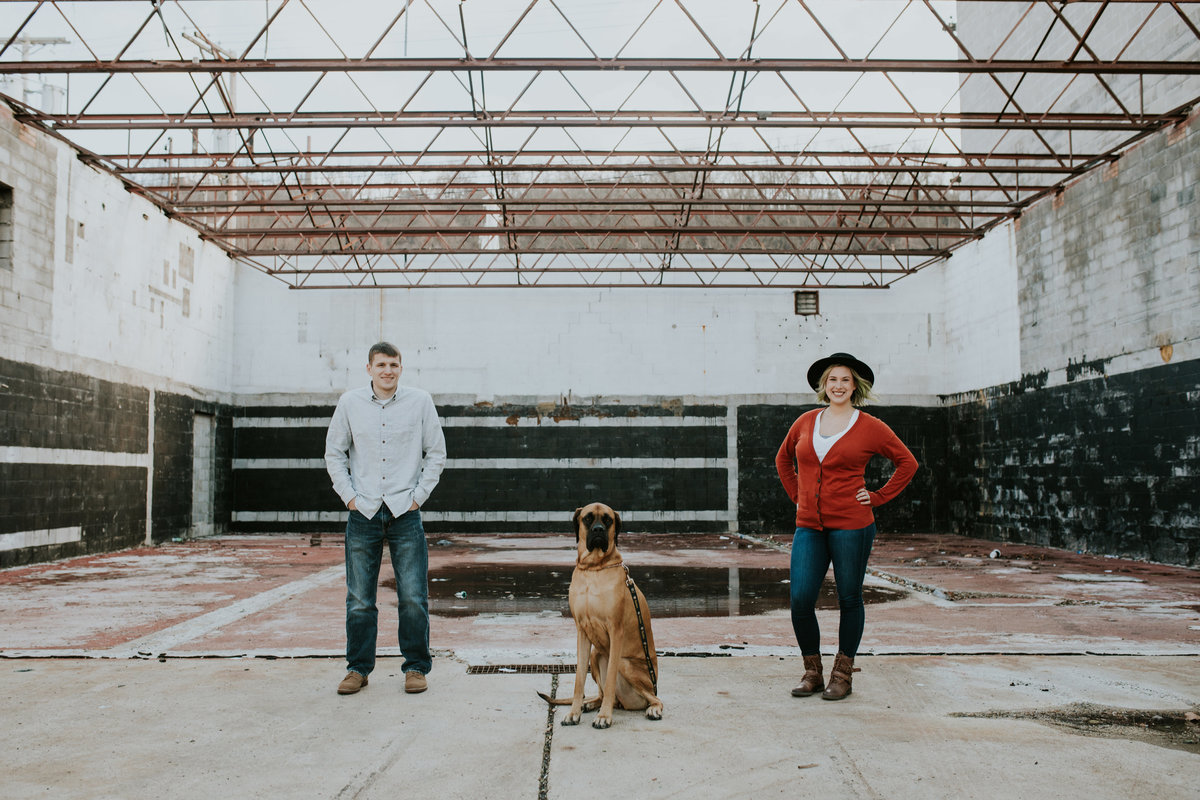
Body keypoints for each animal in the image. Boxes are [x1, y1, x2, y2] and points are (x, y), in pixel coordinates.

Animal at [544, 503, 667, 729]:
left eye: (608, 520)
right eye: (587, 518)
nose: (599, 530)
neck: (594, 569)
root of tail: (626, 704)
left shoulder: (615, 630)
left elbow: (610, 680)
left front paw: (604, 716)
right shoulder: (582, 631)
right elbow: (579, 679)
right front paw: (574, 712)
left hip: (627, 665)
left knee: (654, 697)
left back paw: (652, 708)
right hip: (596, 654)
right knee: (601, 693)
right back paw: (590, 704)